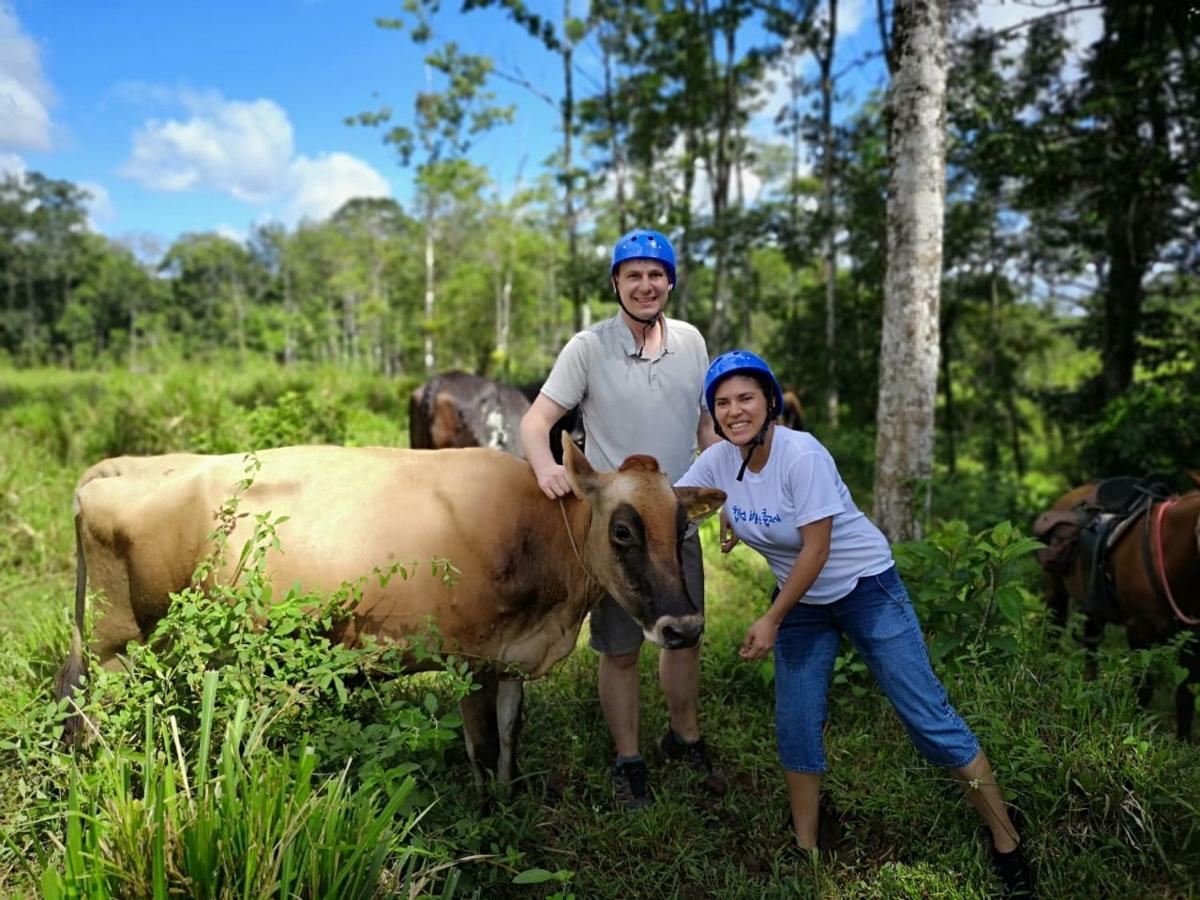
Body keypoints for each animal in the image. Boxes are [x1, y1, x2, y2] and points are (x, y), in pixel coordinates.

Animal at [58, 439, 720, 787]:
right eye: (623, 531)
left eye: (683, 528)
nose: (684, 627)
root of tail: (122, 465)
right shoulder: (467, 658)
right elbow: (482, 745)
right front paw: (488, 817)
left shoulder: (510, 657)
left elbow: (510, 736)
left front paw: (512, 802)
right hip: (115, 644)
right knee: (90, 707)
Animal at [1036, 472, 1200, 739]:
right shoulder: (1138, 631)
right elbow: (1143, 689)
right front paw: (1135, 730)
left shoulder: (1193, 639)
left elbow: (1185, 696)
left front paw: (1182, 742)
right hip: (1054, 589)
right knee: (1053, 634)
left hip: (1092, 607)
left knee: (1090, 649)